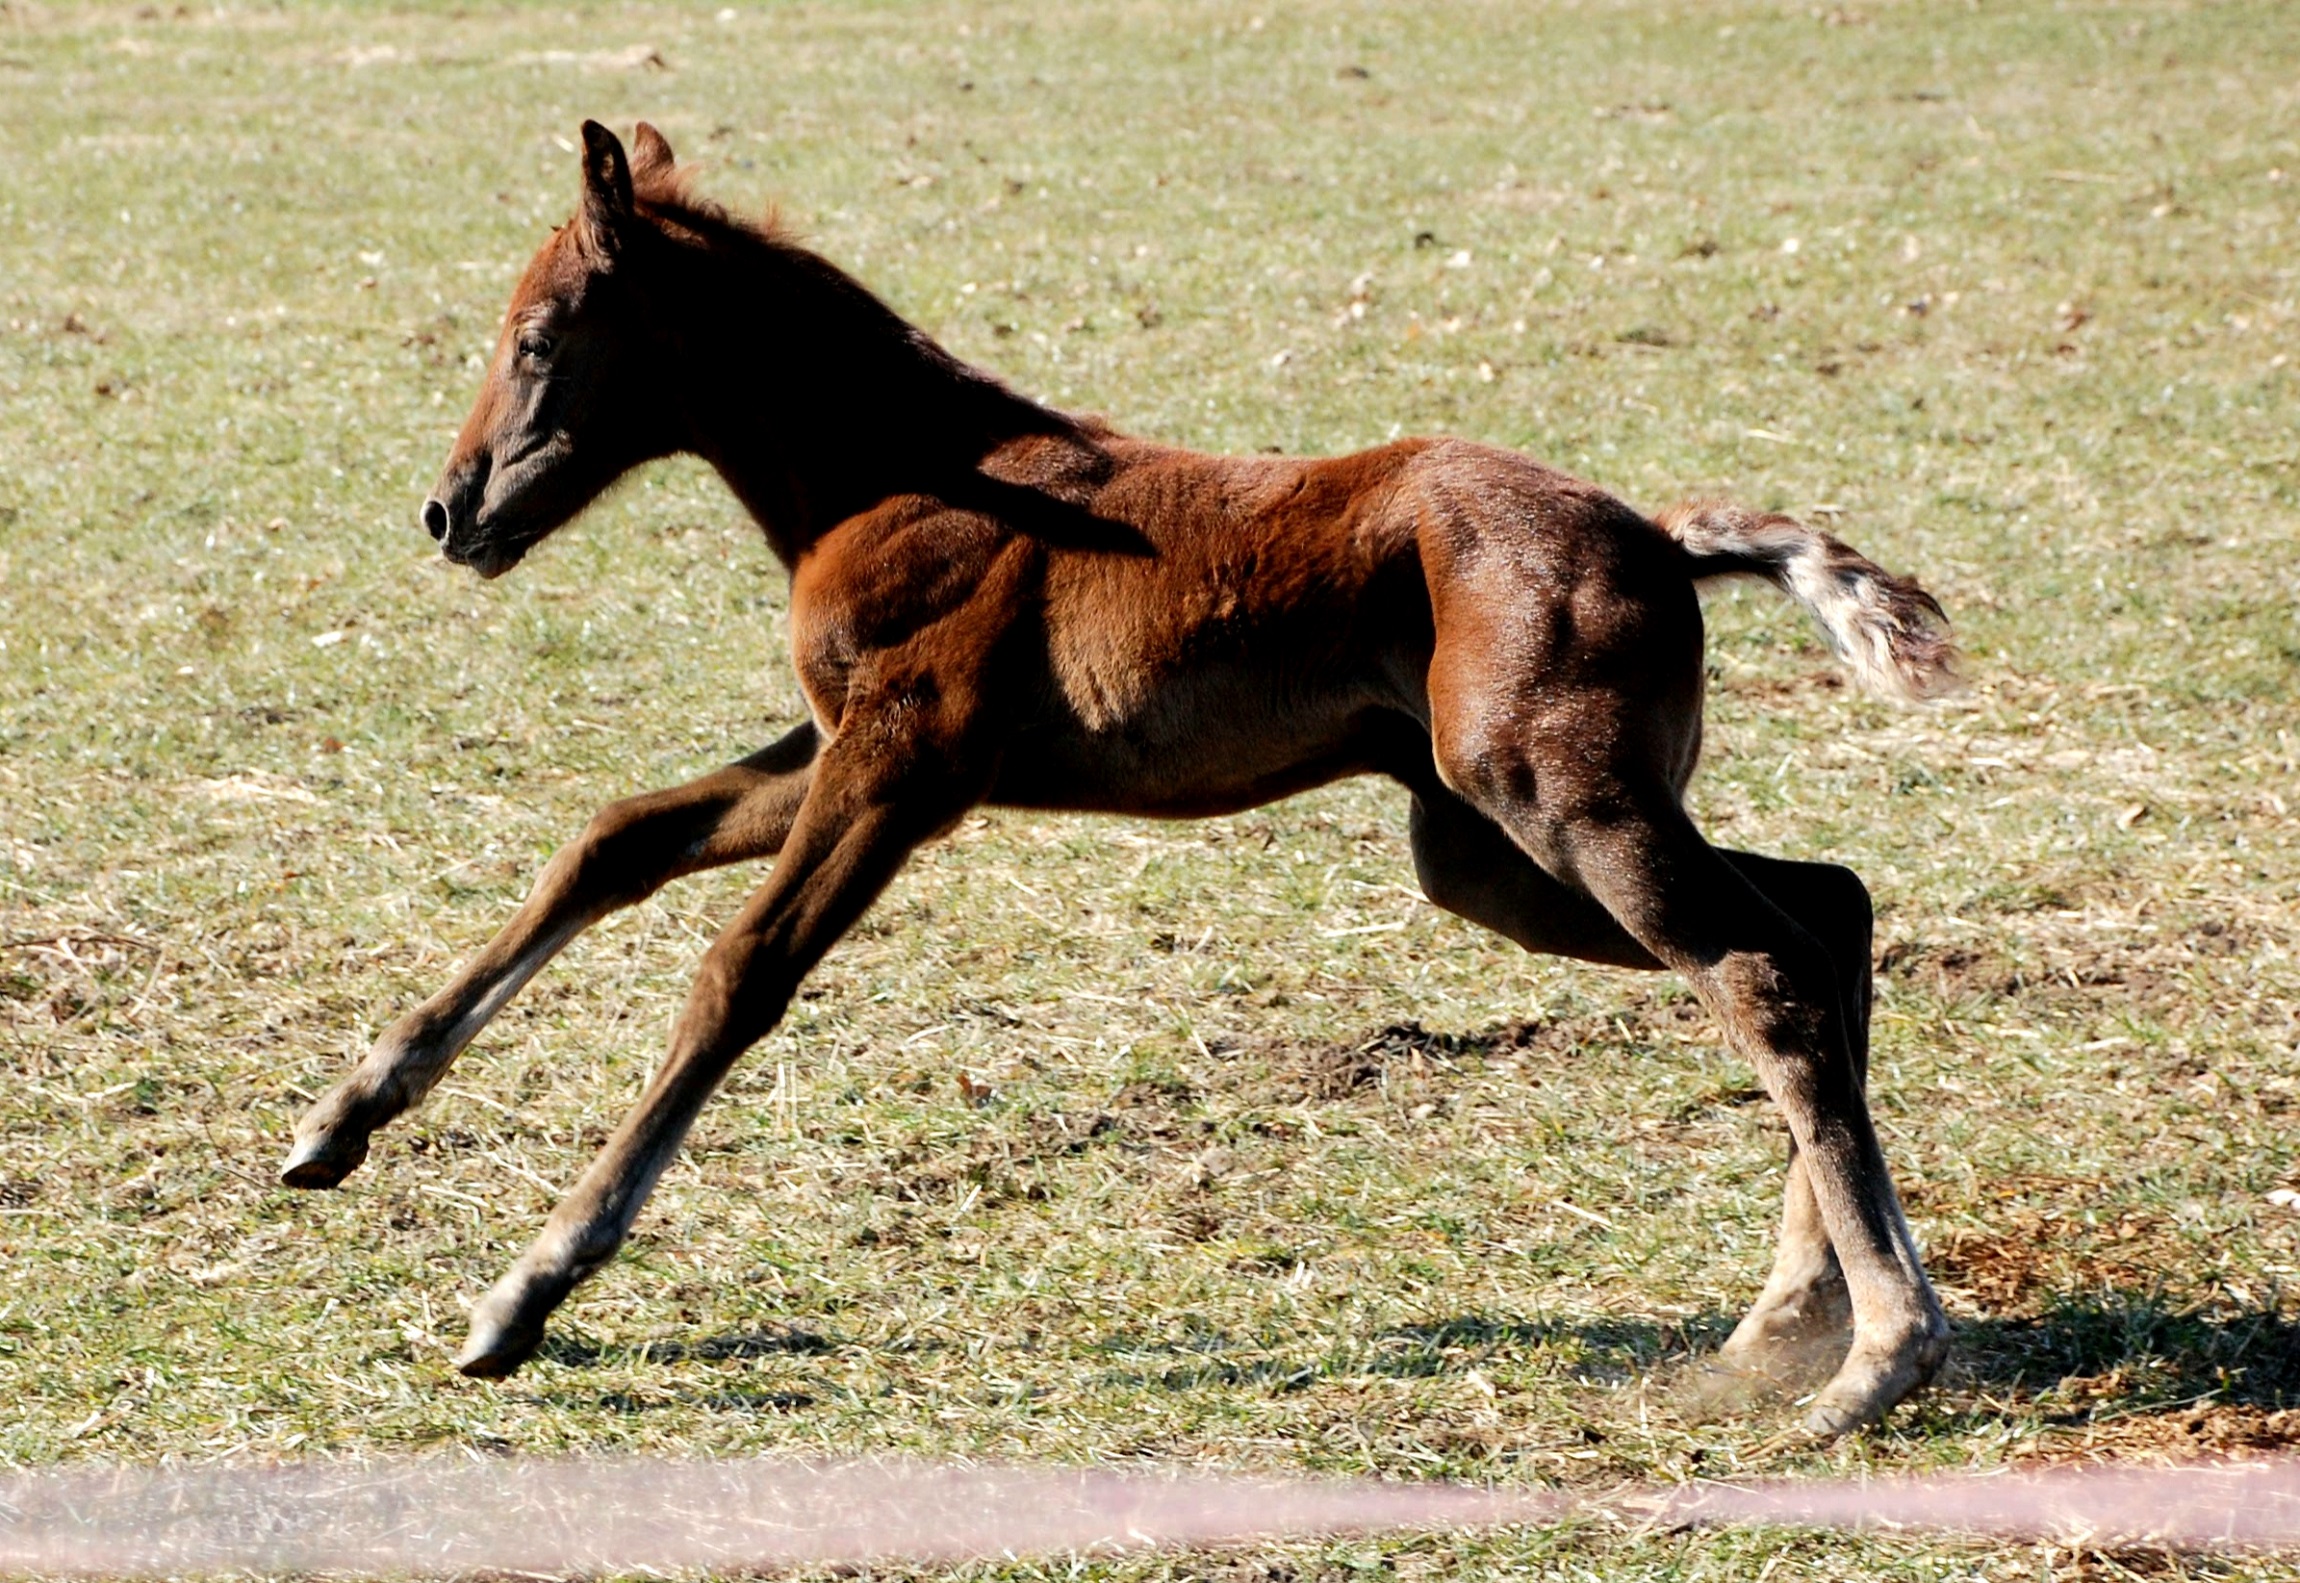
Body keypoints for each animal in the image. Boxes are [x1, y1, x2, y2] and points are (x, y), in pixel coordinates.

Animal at [283, 121, 1956, 1439]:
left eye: (540, 335)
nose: (449, 512)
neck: (907, 472)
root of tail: (1660, 539)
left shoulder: (903, 765)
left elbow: (735, 974)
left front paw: (521, 1293)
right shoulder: (835, 745)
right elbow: (617, 836)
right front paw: (338, 1122)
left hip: (1555, 807)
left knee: (1760, 968)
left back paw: (1873, 1358)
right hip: (1491, 849)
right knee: (1825, 914)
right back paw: (1777, 1327)